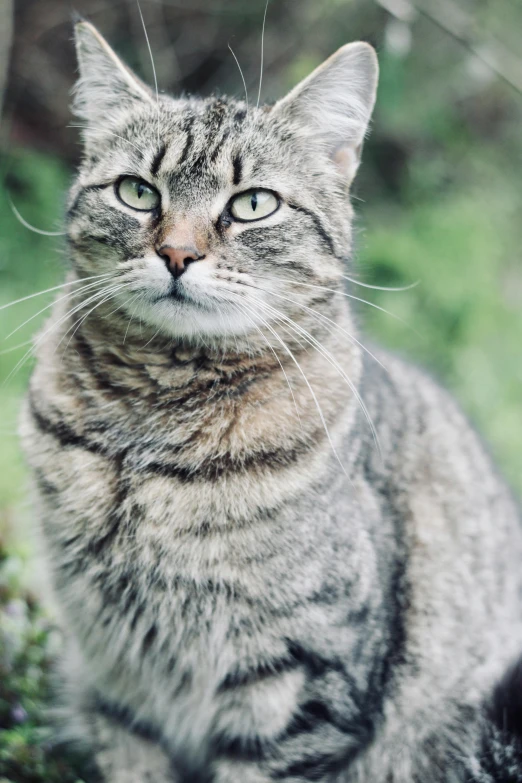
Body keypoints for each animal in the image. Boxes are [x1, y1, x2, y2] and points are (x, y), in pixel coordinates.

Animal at [19, 18, 520, 783]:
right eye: (137, 192)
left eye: (254, 204)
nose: (177, 253)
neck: (154, 431)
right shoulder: (114, 677)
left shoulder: (301, 679)